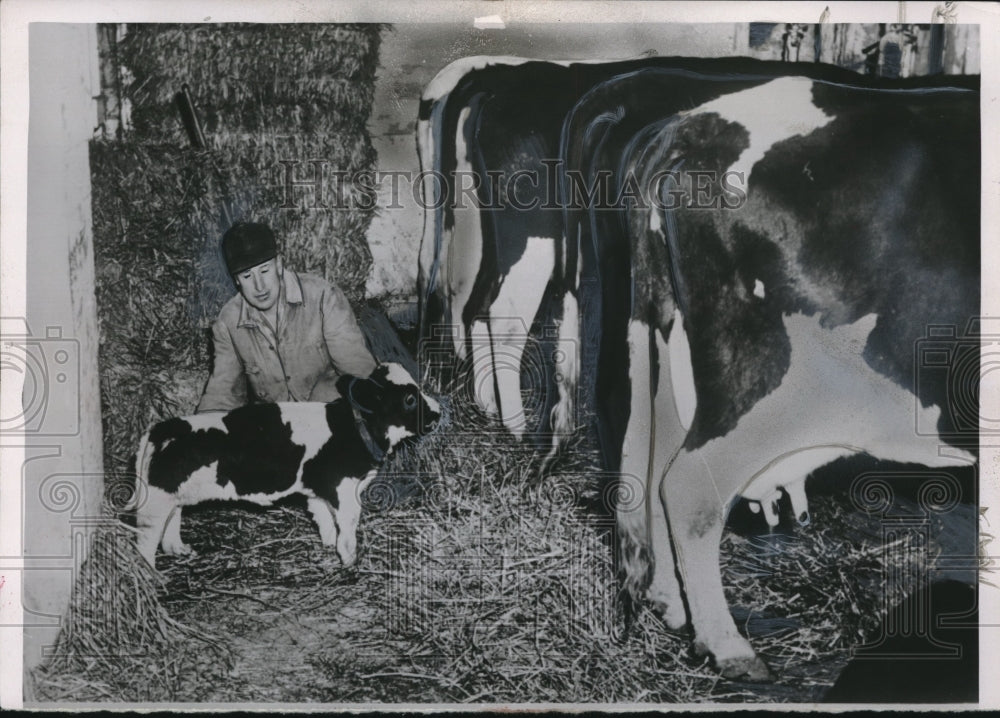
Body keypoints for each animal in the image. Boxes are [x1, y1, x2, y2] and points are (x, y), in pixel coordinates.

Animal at [133, 366, 438, 568]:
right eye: (410, 399)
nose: (437, 411)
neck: (353, 427)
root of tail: (163, 428)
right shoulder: (344, 489)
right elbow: (347, 526)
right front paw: (350, 559)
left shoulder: (317, 490)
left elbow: (324, 520)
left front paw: (329, 545)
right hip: (156, 500)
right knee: (146, 539)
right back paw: (150, 576)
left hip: (173, 495)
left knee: (172, 520)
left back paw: (178, 549)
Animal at [572, 66, 976, 680]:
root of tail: (692, 125)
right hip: (765, 384)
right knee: (688, 485)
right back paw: (729, 648)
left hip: (671, 359)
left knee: (648, 459)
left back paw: (672, 605)